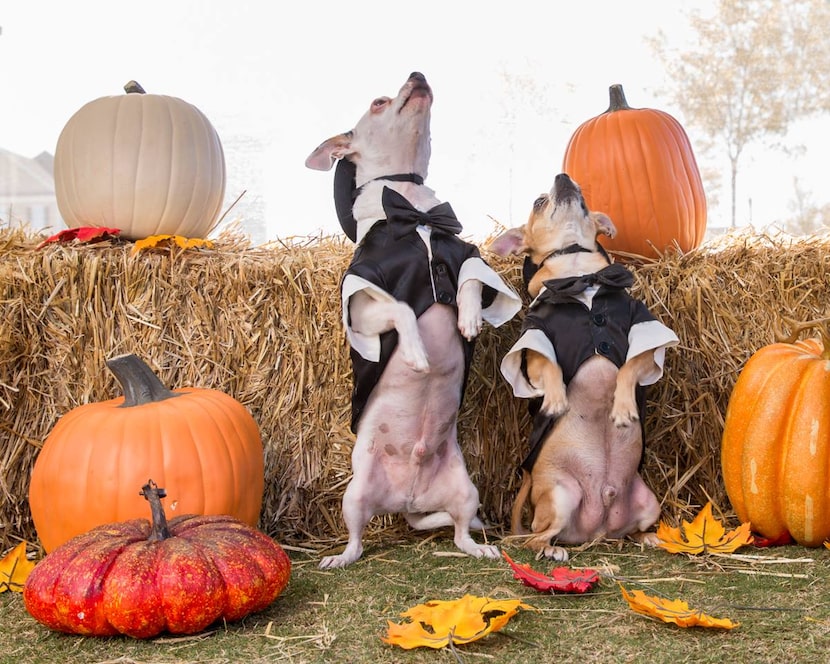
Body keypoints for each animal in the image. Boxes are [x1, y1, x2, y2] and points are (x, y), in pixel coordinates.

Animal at [490, 172, 680, 560]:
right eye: (538, 202)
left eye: (584, 198)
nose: (563, 177)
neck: (580, 276)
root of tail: (598, 528)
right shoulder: (534, 344)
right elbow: (549, 367)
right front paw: (556, 400)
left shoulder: (640, 334)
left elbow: (626, 369)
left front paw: (622, 408)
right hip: (561, 496)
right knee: (538, 536)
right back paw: (550, 550)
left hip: (649, 502)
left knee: (628, 532)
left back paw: (650, 537)